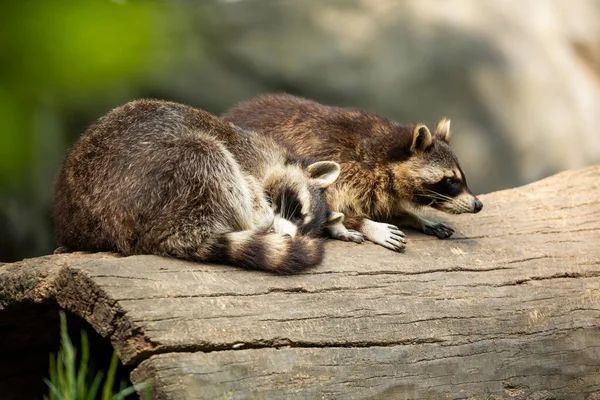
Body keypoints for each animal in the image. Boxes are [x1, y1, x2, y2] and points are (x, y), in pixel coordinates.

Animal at [52, 99, 342, 272]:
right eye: (298, 213)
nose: (291, 236)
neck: (273, 158)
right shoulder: (245, 156)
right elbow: (248, 184)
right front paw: (265, 214)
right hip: (158, 179)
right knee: (207, 152)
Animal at [223, 93, 486, 253]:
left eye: (462, 177)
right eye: (450, 180)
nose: (478, 205)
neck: (383, 156)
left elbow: (385, 207)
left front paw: (417, 218)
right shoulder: (340, 166)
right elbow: (333, 206)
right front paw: (367, 224)